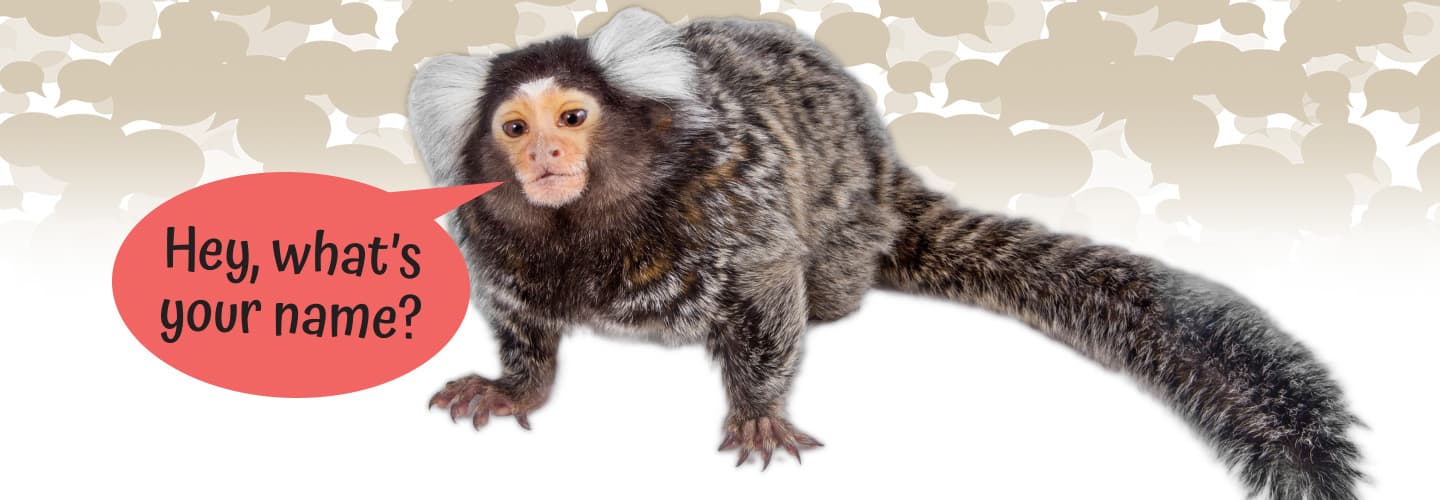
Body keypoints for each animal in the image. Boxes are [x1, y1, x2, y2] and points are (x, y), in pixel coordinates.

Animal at [407, 8, 1362, 499]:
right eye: (514, 128)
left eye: (574, 116)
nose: (544, 157)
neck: (593, 227)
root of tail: (882, 168)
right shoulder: (493, 248)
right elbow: (526, 337)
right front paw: (511, 387)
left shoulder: (731, 217)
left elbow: (767, 298)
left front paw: (758, 412)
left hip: (845, 236)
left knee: (829, 287)